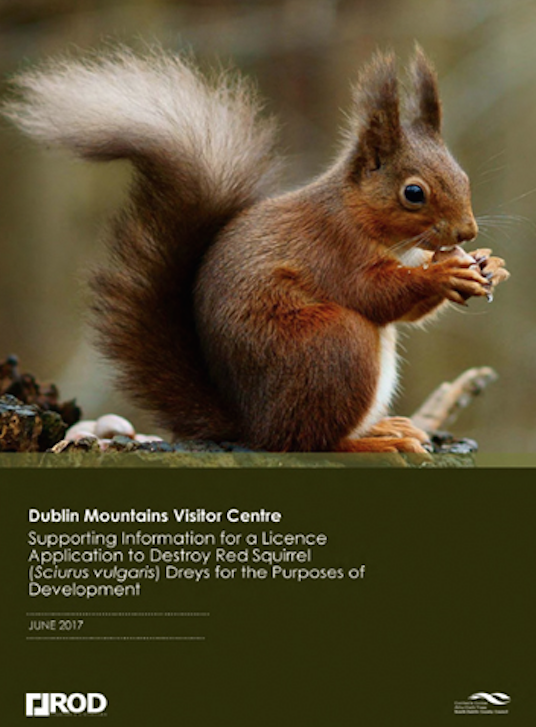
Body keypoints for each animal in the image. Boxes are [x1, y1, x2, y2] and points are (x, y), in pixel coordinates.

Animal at [3, 45, 510, 453]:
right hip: (333, 344)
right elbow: (374, 294)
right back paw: (372, 443)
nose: (466, 232)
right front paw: (444, 274)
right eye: (413, 193)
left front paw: (490, 264)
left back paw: (385, 428)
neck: (363, 218)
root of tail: (252, 425)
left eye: (462, 175)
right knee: (308, 441)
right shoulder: (332, 249)